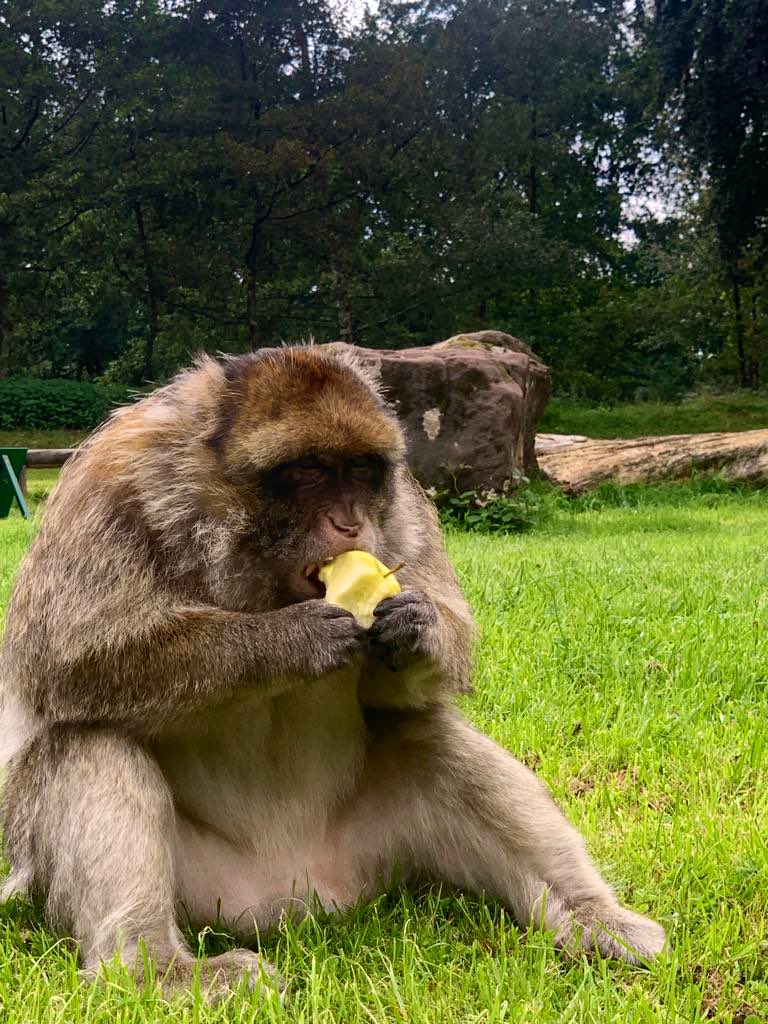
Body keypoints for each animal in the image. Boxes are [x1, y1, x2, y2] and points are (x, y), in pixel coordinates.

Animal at [0, 346, 666, 1001]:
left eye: (362, 470)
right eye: (310, 469)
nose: (350, 524)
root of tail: (294, 898)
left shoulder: (403, 513)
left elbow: (412, 678)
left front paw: (418, 629)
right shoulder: (109, 487)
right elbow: (62, 663)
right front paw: (285, 640)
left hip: (372, 854)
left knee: (426, 734)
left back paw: (593, 917)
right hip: (199, 889)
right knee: (87, 738)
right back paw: (155, 970)